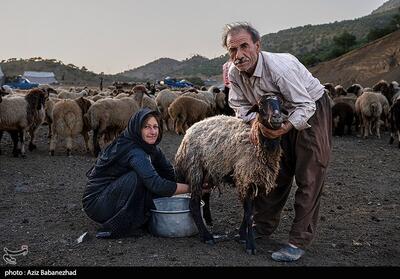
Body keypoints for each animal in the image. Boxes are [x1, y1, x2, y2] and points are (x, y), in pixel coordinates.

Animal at [176, 94, 284, 256]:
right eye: (261, 105)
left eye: (280, 103)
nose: (277, 117)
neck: (260, 146)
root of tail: (190, 130)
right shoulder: (245, 177)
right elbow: (249, 214)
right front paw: (250, 245)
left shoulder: (254, 180)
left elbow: (248, 213)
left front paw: (242, 236)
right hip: (195, 169)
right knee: (194, 204)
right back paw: (207, 236)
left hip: (210, 170)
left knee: (205, 196)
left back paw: (209, 220)